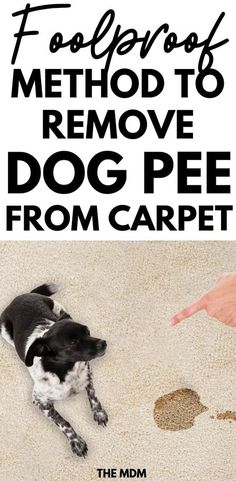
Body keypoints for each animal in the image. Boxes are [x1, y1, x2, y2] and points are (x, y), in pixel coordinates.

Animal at [0, 284, 108, 456]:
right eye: (73, 342)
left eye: (88, 331)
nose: (104, 343)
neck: (67, 371)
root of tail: (22, 295)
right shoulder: (39, 401)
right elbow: (62, 421)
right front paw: (76, 441)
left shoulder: (88, 374)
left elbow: (93, 396)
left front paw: (99, 413)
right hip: (4, 331)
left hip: (58, 306)